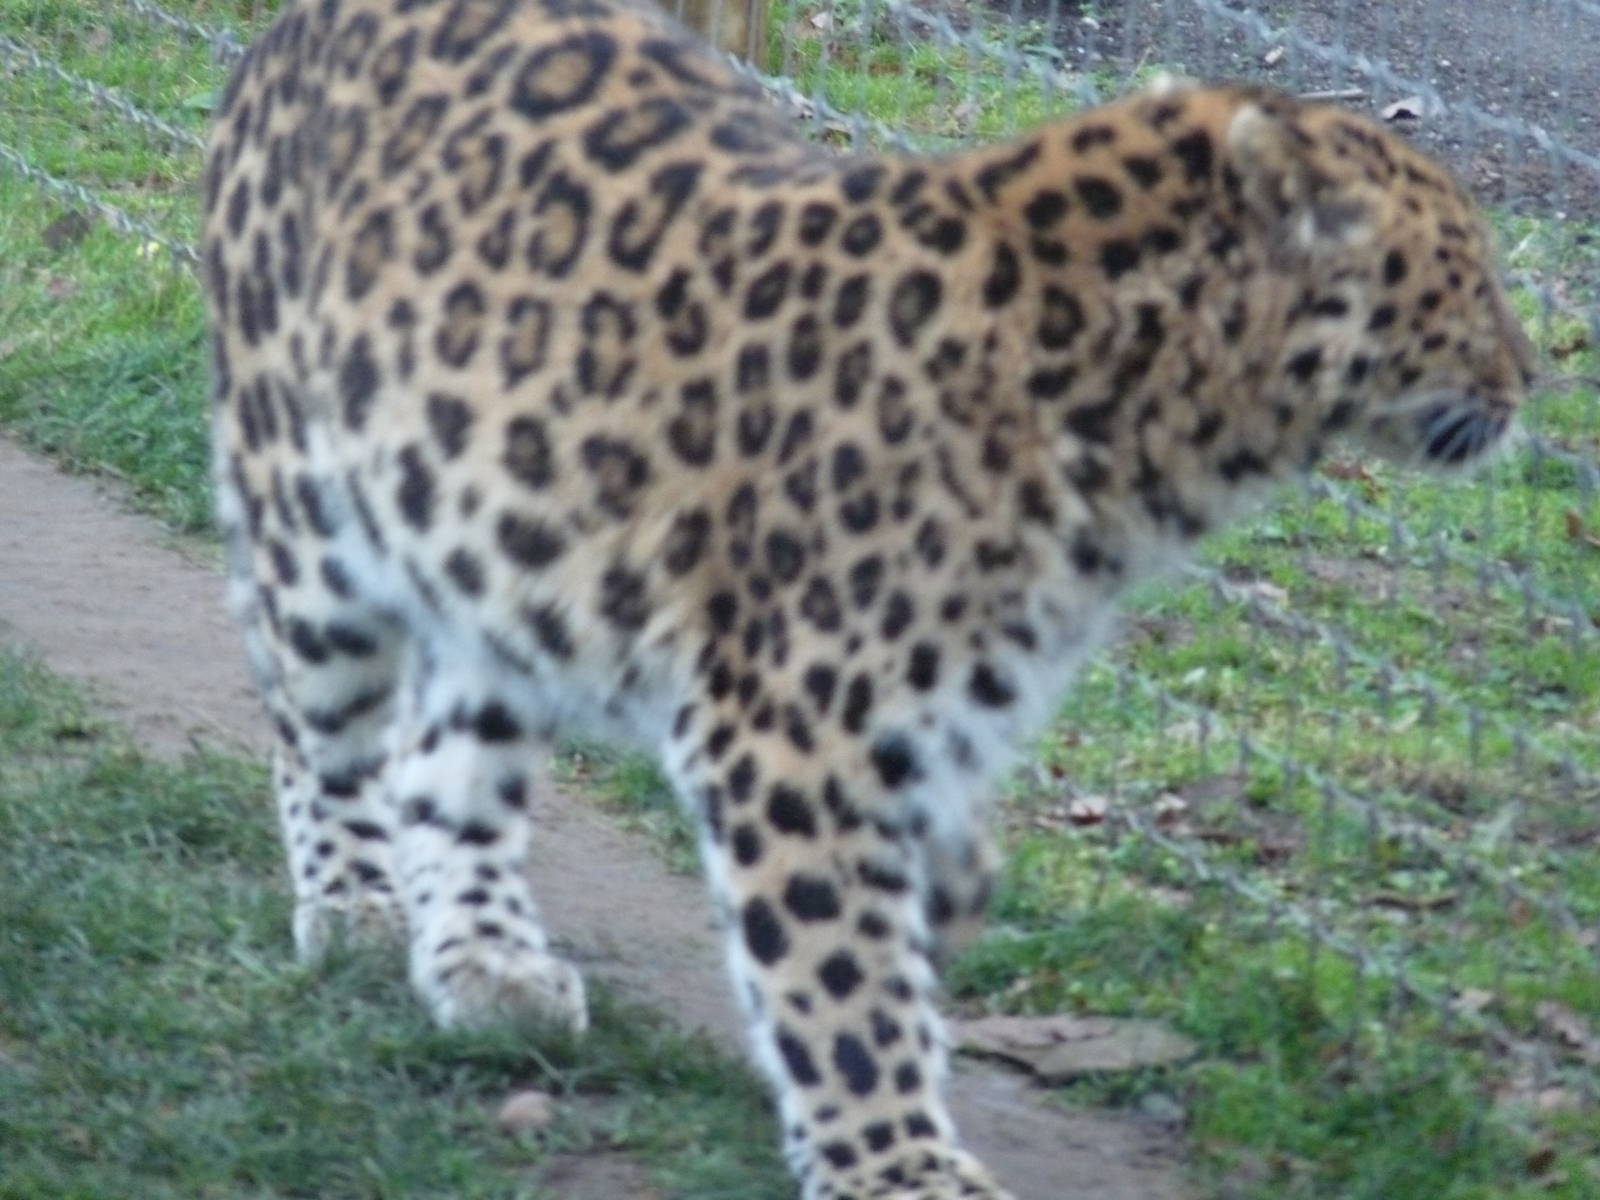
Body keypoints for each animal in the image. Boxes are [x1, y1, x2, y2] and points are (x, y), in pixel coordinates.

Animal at [200, 0, 1534, 1195]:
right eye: (1467, 270)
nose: (1533, 375)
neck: (1149, 434)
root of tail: (293, 29)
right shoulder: (793, 730)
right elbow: (841, 972)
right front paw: (898, 1164)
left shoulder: (940, 714)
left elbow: (905, 914)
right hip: (312, 517)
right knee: (322, 730)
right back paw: (358, 908)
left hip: (498, 541)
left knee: (445, 760)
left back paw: (487, 965)